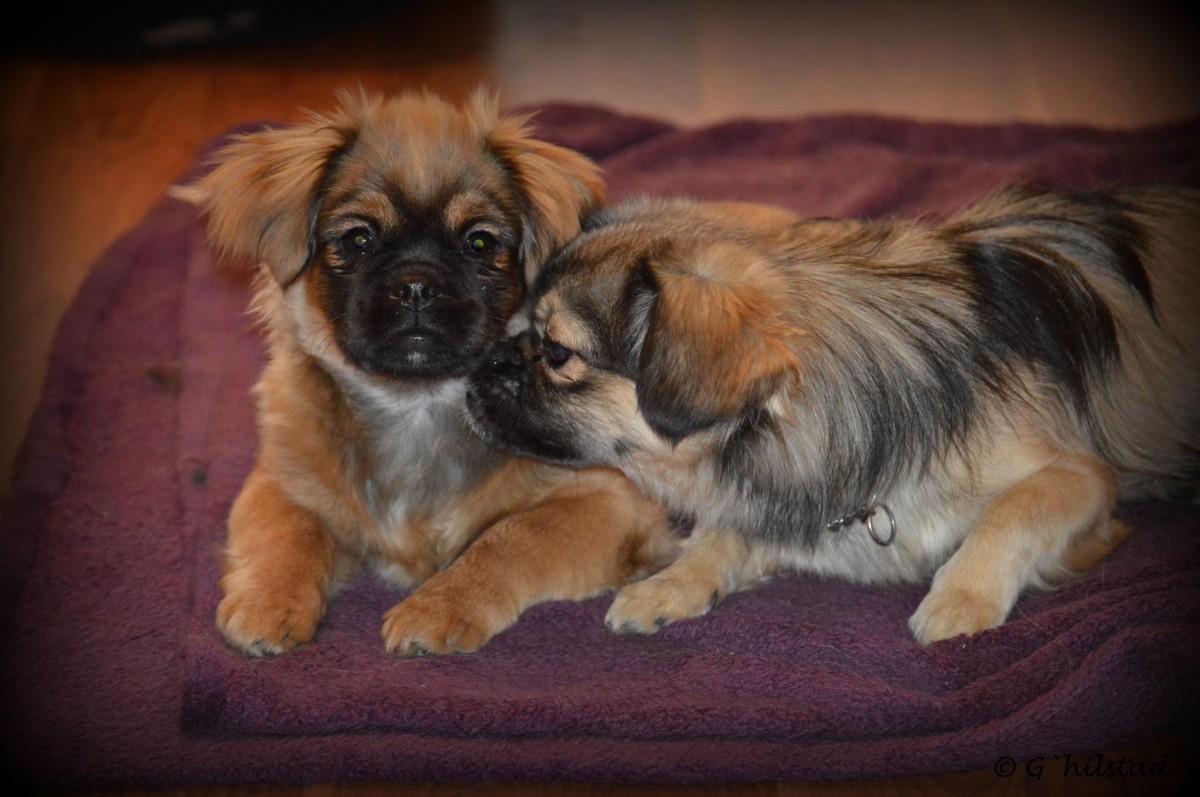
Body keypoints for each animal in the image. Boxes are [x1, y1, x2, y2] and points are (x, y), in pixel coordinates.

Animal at [182, 90, 681, 657]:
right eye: (358, 240)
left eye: (479, 243)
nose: (417, 284)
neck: (415, 405)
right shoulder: (278, 477)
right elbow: (288, 529)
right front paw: (269, 603)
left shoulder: (610, 502)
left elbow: (508, 539)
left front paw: (437, 606)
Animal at [465, 189, 1200, 643]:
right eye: (517, 324)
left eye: (557, 352)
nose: (479, 366)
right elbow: (727, 533)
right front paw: (672, 584)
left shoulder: (1084, 478)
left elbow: (1012, 512)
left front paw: (960, 599)